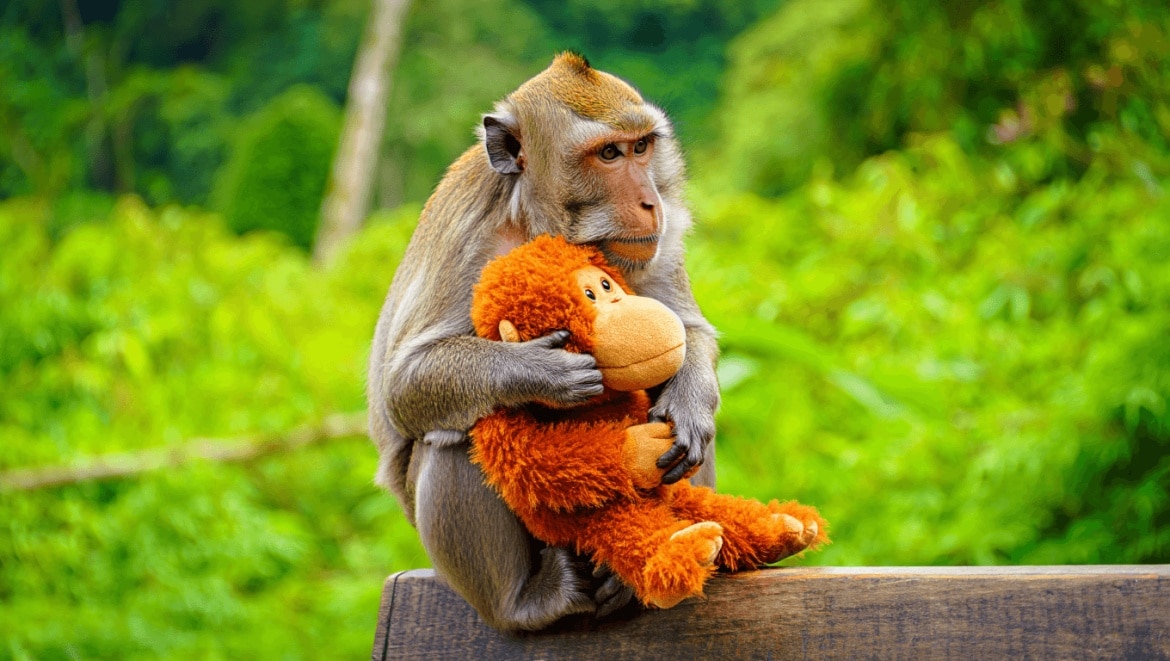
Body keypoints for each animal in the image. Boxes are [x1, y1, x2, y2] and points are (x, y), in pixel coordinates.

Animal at [367, 52, 721, 631]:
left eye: (641, 147)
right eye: (608, 153)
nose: (650, 202)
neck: (542, 223)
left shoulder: (652, 244)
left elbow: (687, 331)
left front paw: (689, 403)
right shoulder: (472, 244)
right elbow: (404, 385)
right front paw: (542, 372)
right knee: (455, 434)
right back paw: (527, 600)